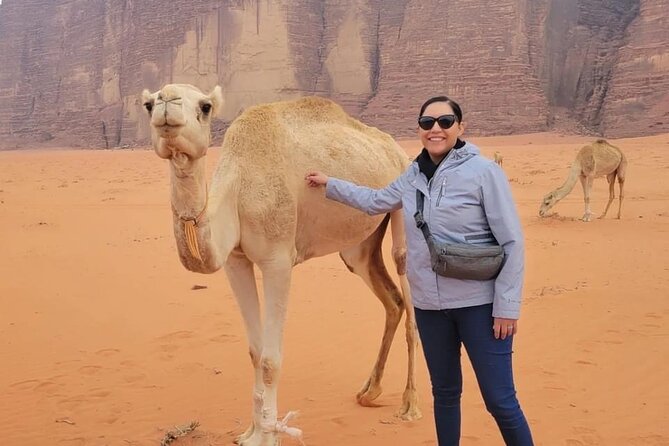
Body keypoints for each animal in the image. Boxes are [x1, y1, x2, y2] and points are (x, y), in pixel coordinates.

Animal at [141, 84, 421, 446]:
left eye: (204, 106)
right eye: (148, 105)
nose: (167, 101)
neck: (238, 187)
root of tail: (396, 149)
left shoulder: (278, 260)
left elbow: (271, 360)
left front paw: (268, 437)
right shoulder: (236, 261)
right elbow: (255, 352)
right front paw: (251, 432)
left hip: (402, 205)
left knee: (406, 283)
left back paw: (410, 405)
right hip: (358, 245)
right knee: (389, 297)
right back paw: (369, 391)